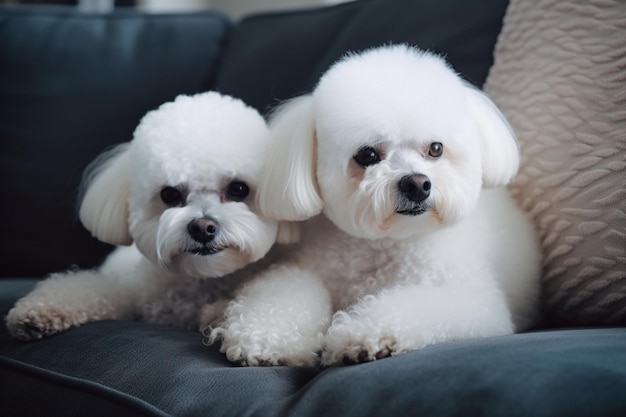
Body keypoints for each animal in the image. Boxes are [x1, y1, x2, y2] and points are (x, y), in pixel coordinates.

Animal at [6, 92, 294, 342]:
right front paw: (40, 311)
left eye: (238, 189)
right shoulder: (134, 292)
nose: (202, 227)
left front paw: (217, 315)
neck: (203, 280)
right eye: (169, 194)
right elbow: (95, 288)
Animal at [211, 44, 540, 366]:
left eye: (435, 149)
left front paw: (361, 335)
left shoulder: (470, 297)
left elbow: (411, 307)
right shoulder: (308, 269)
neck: (386, 244)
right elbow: (284, 295)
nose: (417, 184)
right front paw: (264, 336)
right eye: (367, 155)